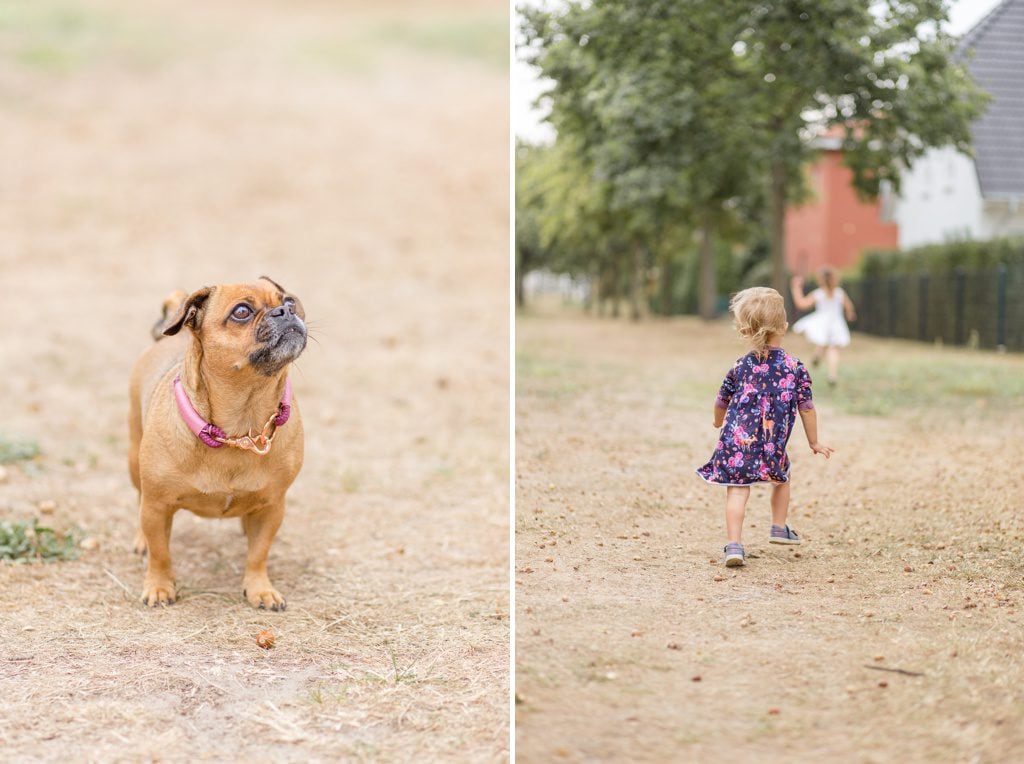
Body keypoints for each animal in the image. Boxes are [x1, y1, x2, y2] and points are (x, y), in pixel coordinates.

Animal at [128, 276, 305, 610]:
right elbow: (160, 554)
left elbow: (258, 554)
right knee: (140, 501)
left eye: (289, 301)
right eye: (242, 312)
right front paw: (158, 586)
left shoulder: (273, 507)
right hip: (134, 462)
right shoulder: (157, 507)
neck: (241, 427)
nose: (285, 312)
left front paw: (260, 589)